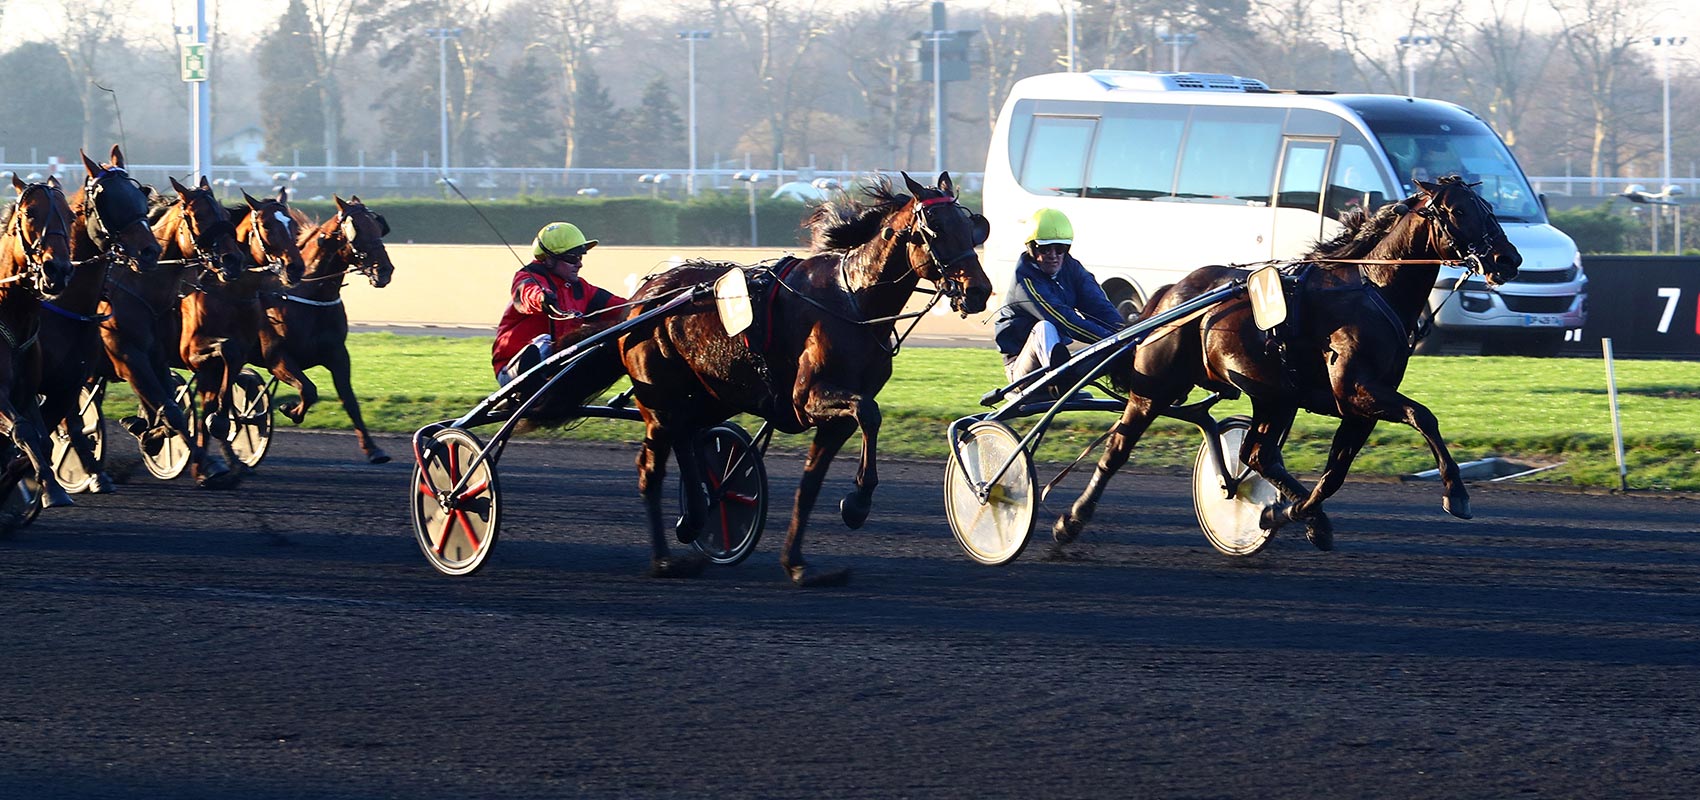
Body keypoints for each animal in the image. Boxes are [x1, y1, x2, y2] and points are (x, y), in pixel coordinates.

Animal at [249, 193, 396, 461]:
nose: (384, 270)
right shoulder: (276, 357)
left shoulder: (338, 355)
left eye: (379, 225)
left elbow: (349, 399)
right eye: (356, 229)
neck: (306, 294)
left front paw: (373, 449)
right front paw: (290, 409)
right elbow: (309, 390)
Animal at [622, 174, 992, 587]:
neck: (853, 302)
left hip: (712, 395)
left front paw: (797, 563)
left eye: (971, 226)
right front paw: (857, 505)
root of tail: (644, 294)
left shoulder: (835, 419)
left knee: (688, 436)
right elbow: (870, 412)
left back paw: (697, 515)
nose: (979, 290)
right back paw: (665, 560)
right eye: (936, 229)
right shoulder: (808, 400)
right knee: (651, 467)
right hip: (659, 401)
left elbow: (810, 484)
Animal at [1054, 174, 1523, 550]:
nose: (1509, 259)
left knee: (1259, 454)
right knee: (1117, 449)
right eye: (1459, 211)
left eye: (1489, 208)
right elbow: (1423, 416)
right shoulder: (1357, 392)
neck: (1373, 288)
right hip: (1155, 390)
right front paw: (1456, 492)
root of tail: (1172, 293)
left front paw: (1286, 514)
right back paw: (1070, 521)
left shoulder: (1359, 409)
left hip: (1274, 395)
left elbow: (1335, 474)